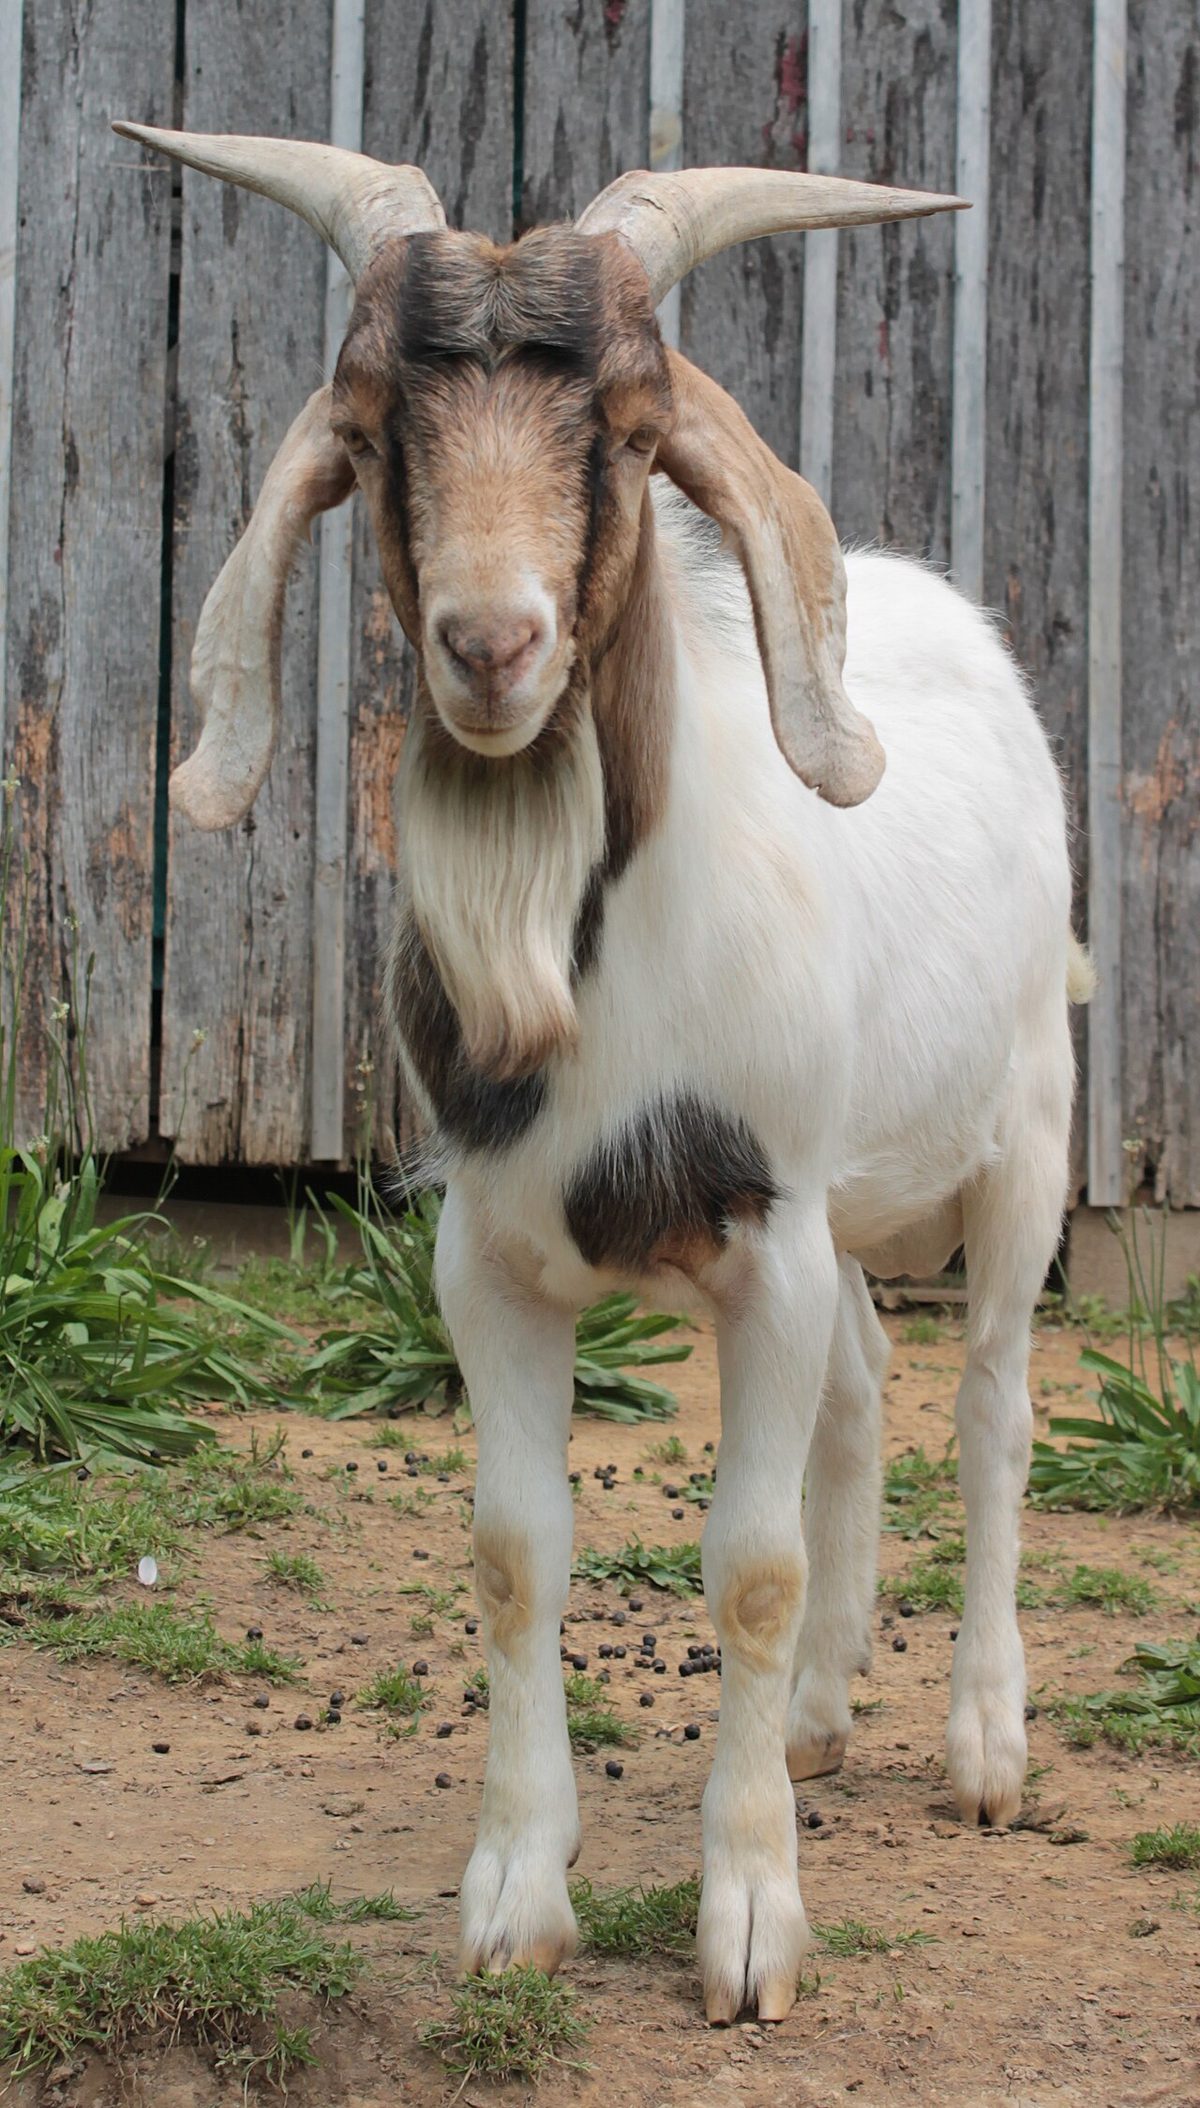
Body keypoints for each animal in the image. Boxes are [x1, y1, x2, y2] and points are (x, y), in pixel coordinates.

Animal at [113, 122, 1086, 2025]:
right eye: (374, 429)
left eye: (630, 432)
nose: (494, 644)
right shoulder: (490, 1257)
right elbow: (514, 1552)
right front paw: (515, 1899)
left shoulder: (763, 1233)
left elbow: (752, 1565)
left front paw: (751, 1927)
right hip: (847, 1204)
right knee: (869, 1386)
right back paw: (826, 1717)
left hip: (1026, 1134)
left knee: (995, 1405)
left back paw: (982, 1748)